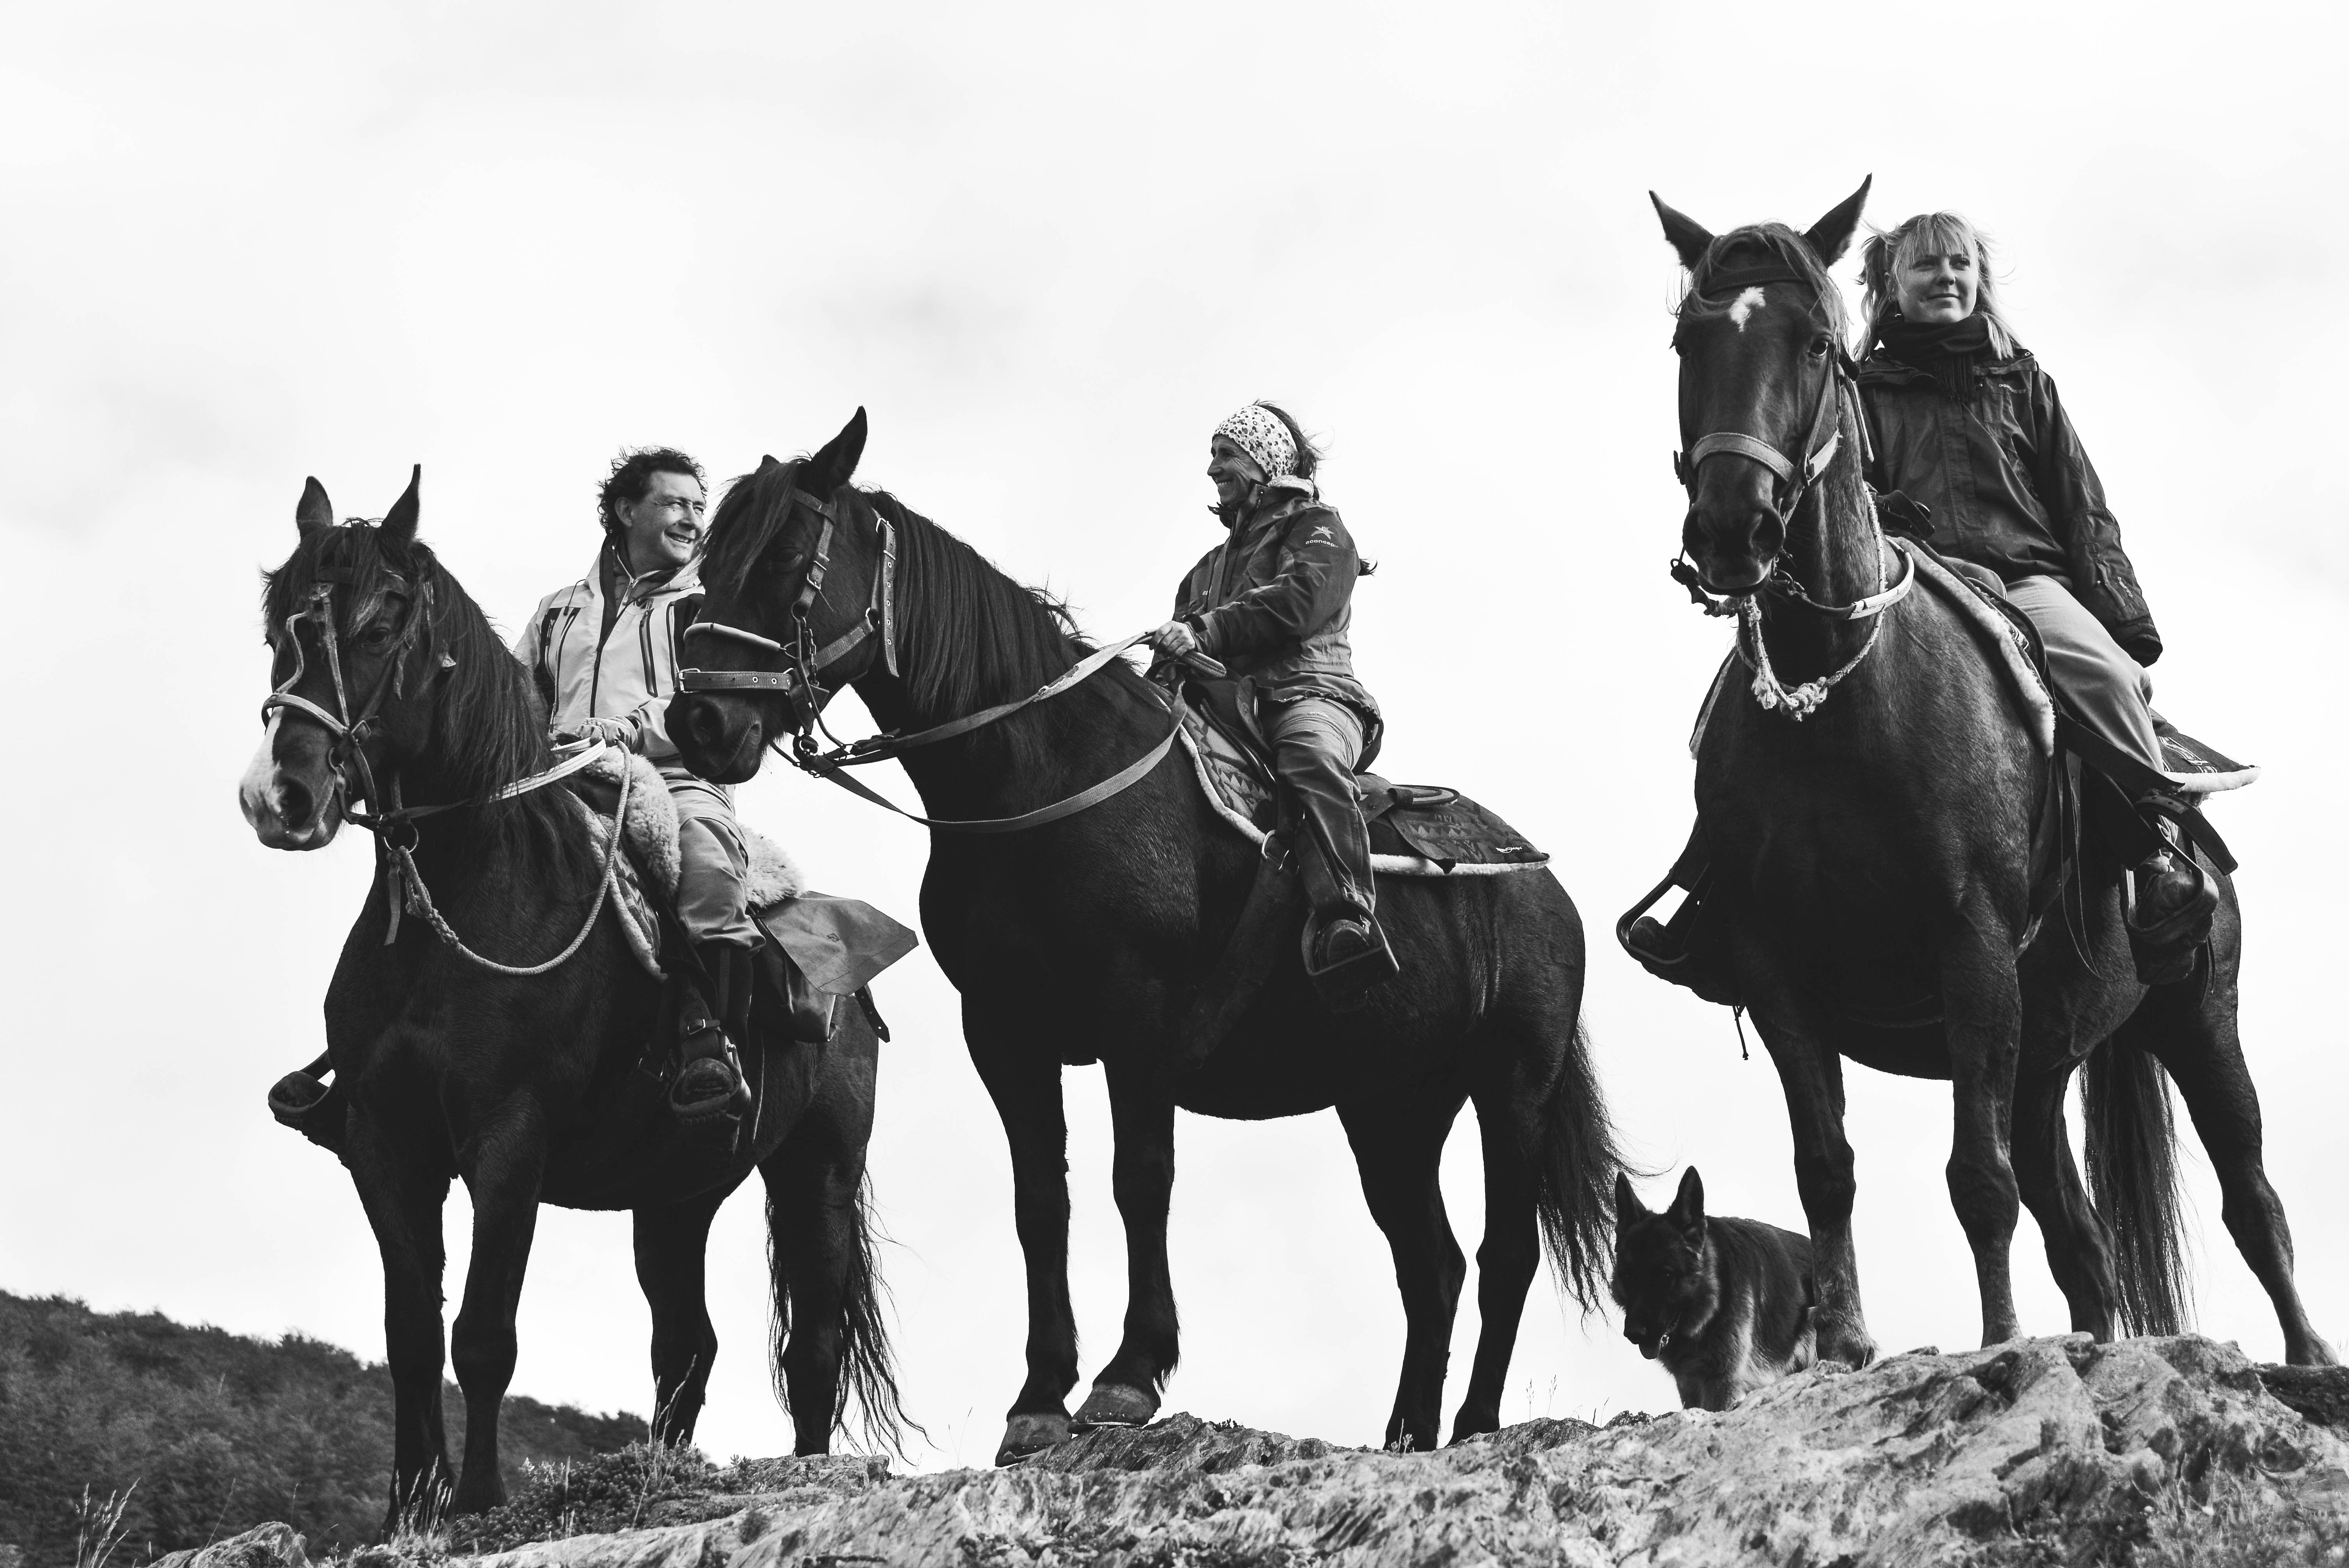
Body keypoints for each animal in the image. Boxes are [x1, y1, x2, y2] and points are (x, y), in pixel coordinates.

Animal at [238, 472, 911, 1521]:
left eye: (382, 622)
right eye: (279, 625)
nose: (283, 795)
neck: (463, 899)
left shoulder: (508, 1140)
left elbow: (482, 1334)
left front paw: (474, 1502)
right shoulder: (386, 1146)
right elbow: (410, 1335)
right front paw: (407, 1509)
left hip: (818, 1170)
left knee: (811, 1348)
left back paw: (807, 1471)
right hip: (676, 1196)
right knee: (686, 1345)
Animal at [653, 413, 1625, 1455]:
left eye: (784, 553)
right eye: (707, 559)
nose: (699, 717)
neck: (1041, 776)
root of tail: (1541, 881)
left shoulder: (1138, 1022)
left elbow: (1139, 1180)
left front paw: (1128, 1374)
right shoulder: (1004, 1033)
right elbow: (1041, 1200)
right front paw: (1039, 1393)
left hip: (1512, 1082)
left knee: (1505, 1251)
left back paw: (1475, 1424)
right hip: (1390, 1105)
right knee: (1431, 1263)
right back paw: (1405, 1430)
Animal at [1654, 177, 2330, 1361]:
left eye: (1816, 343)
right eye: (1692, 338)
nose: (1734, 528)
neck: (1843, 700)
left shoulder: (1969, 949)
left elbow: (1977, 1180)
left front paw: (2001, 1338)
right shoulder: (1778, 970)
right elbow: (1826, 1168)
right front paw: (1849, 1346)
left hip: (2197, 1013)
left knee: (2252, 1198)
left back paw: (2306, 1356)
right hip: (2045, 1057)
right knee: (2084, 1238)